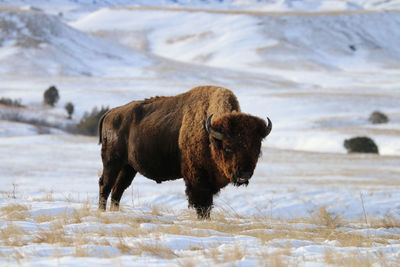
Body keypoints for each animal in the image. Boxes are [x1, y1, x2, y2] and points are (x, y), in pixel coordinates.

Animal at [97, 86, 272, 220]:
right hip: (112, 162)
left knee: (118, 189)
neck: (211, 137)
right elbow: (202, 204)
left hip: (128, 167)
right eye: (228, 147)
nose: (245, 174)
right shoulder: (197, 179)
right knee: (106, 184)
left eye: (257, 149)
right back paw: (101, 211)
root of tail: (110, 113)